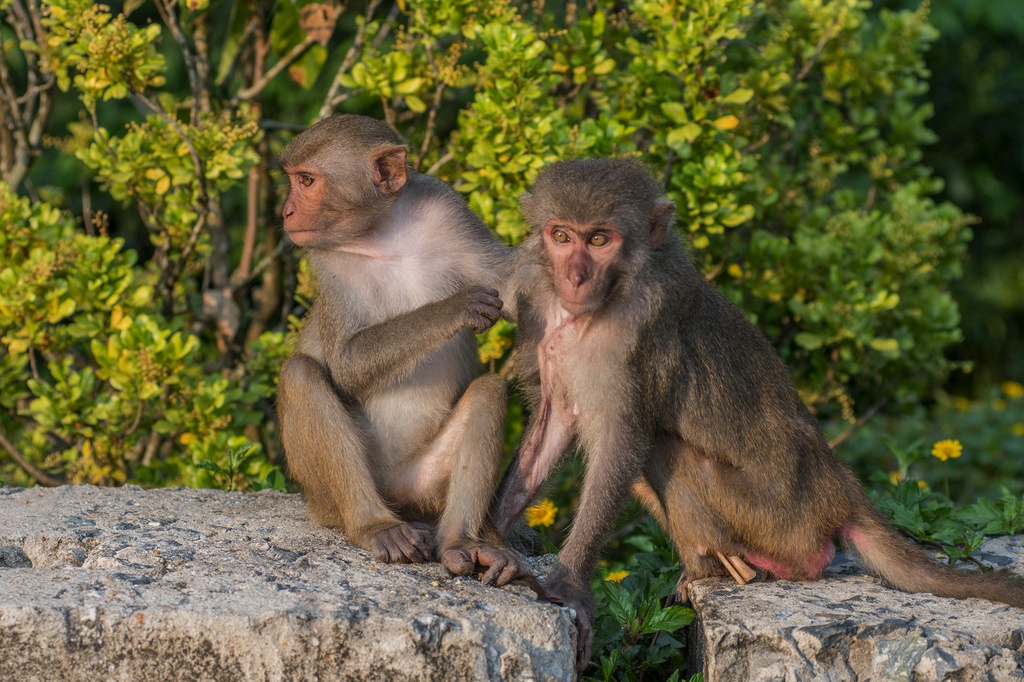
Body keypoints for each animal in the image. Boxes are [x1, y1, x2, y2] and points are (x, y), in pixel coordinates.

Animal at [278, 115, 528, 585]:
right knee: (300, 374)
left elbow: (511, 288)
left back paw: (463, 542)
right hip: (324, 496)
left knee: (489, 391)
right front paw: (456, 307)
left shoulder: (447, 208)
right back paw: (375, 525)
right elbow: (347, 365)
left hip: (425, 485)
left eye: (306, 181)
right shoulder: (325, 259)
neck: (382, 233)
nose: (285, 211)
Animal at [489, 155, 1024, 667]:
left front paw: (569, 583)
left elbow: (621, 441)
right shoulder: (538, 305)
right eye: (561, 236)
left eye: (599, 239)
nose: (575, 277)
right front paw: (489, 539)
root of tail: (841, 488)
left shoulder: (636, 332)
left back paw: (746, 568)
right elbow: (556, 423)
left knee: (661, 448)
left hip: (776, 517)